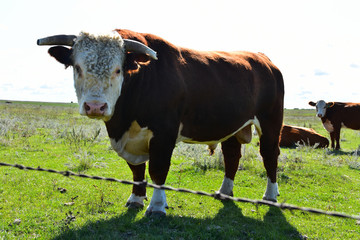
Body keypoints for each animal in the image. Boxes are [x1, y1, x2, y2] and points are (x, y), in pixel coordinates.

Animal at [37, 29, 284, 217]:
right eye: (77, 68)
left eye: (118, 70)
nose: (95, 106)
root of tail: (264, 59)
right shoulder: (129, 139)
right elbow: (136, 169)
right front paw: (136, 199)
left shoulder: (164, 134)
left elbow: (157, 170)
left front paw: (156, 206)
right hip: (231, 126)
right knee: (232, 156)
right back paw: (224, 191)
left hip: (271, 122)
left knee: (269, 155)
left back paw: (270, 196)